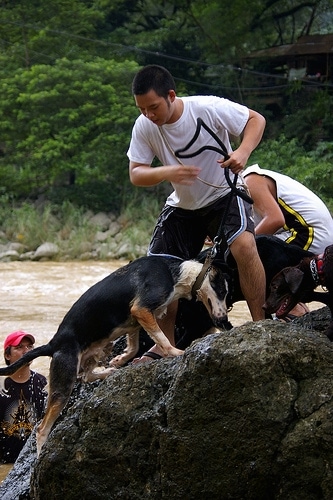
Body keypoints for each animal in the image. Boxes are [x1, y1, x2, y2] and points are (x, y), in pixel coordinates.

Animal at [0, 254, 230, 454]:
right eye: (222, 291)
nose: (226, 323)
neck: (179, 273)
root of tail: (54, 343)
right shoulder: (141, 309)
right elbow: (162, 338)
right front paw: (174, 352)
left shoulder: (134, 321)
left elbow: (134, 347)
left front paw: (121, 359)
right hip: (64, 383)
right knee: (42, 429)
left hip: (97, 350)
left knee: (87, 376)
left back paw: (109, 371)